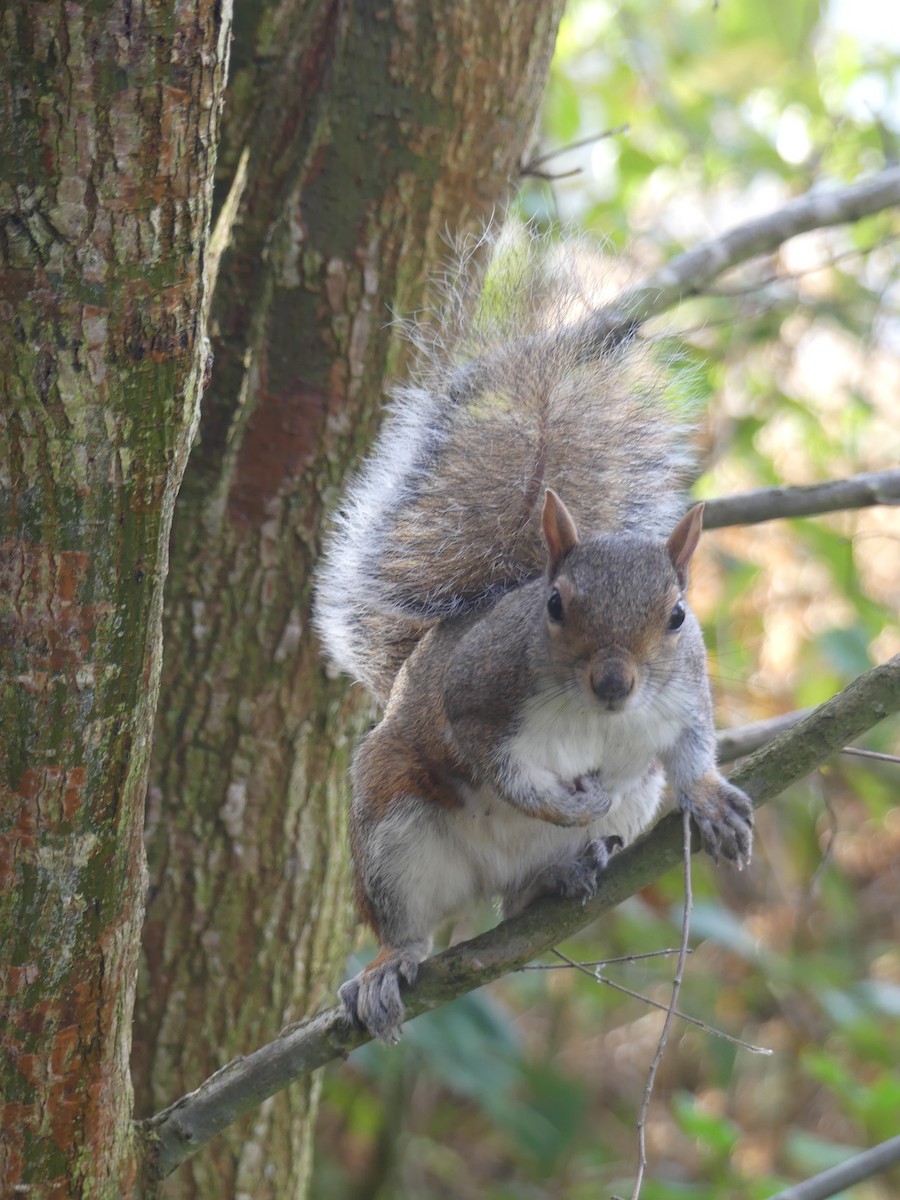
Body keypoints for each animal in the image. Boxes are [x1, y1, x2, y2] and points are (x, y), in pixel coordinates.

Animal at [314, 231, 754, 1043]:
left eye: (677, 615)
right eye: (554, 605)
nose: (614, 682)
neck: (594, 712)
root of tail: (492, 876)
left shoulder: (684, 696)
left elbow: (691, 749)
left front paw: (710, 799)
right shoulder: (478, 701)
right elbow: (500, 767)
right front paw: (565, 801)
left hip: (629, 803)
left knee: (528, 888)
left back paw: (558, 874)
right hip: (390, 823)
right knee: (406, 922)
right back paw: (390, 965)